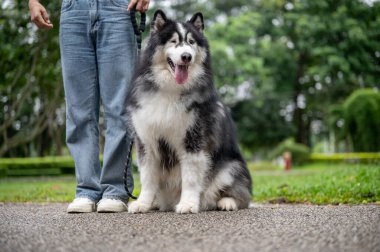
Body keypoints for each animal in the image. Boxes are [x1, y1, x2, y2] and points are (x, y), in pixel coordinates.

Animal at [126, 10, 254, 215]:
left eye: (191, 42)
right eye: (173, 41)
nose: (186, 56)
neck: (170, 90)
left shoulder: (193, 140)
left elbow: (191, 178)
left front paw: (187, 203)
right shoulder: (147, 141)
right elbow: (147, 177)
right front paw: (143, 203)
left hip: (231, 167)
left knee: (241, 195)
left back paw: (227, 202)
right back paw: (155, 203)